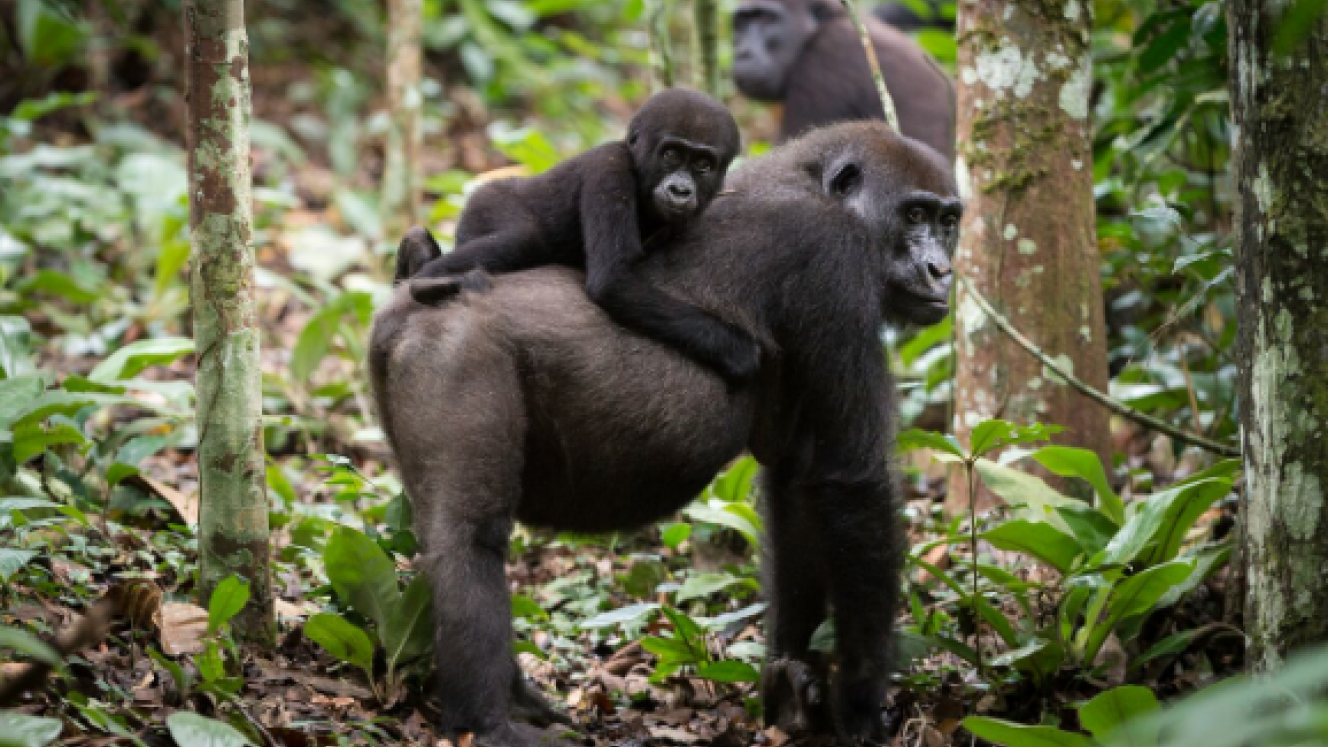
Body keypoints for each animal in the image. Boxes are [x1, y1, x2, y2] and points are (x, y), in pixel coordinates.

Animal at [369, 121, 960, 747]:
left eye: (948, 222)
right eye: (914, 215)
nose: (940, 271)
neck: (811, 180)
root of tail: (404, 303)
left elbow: (798, 487)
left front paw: (793, 680)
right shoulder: (834, 259)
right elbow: (853, 481)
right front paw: (860, 702)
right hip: (457, 352)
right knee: (469, 540)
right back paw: (488, 723)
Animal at [395, 88, 760, 384]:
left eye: (703, 164)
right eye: (671, 155)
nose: (681, 190)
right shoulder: (609, 168)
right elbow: (613, 280)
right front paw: (736, 349)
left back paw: (416, 252)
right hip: (485, 204)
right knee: (525, 237)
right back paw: (427, 279)